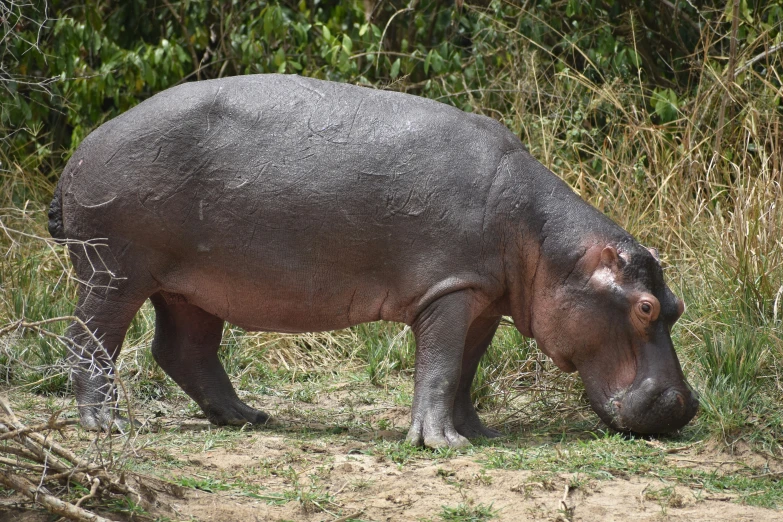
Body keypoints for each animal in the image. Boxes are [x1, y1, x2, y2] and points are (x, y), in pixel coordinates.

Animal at [49, 74, 700, 446]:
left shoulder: (481, 298)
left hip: (192, 286)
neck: (547, 242)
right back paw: (106, 424)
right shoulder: (448, 290)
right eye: (645, 307)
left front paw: (479, 432)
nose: (685, 405)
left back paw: (249, 417)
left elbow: (464, 370)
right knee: (88, 338)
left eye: (676, 305)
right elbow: (439, 366)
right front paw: (442, 444)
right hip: (116, 272)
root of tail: (80, 151)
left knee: (184, 349)